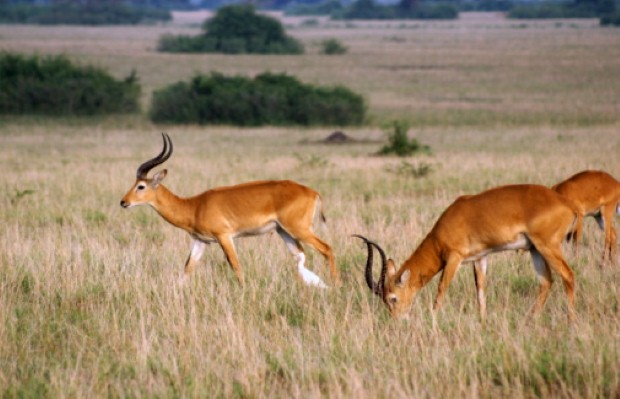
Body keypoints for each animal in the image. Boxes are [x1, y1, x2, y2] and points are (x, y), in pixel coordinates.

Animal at [119, 134, 340, 288]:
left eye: (141, 186)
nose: (123, 202)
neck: (194, 206)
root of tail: (312, 191)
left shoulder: (224, 237)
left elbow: (235, 264)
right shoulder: (201, 241)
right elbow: (188, 268)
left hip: (299, 229)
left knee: (327, 248)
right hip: (283, 231)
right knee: (300, 255)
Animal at [356, 185, 580, 322]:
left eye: (392, 298)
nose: (397, 320)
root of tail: (568, 204)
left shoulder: (454, 258)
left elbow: (441, 288)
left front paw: (433, 317)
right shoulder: (480, 258)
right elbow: (480, 290)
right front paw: (482, 320)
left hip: (547, 246)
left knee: (568, 275)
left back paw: (570, 320)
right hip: (535, 249)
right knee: (546, 281)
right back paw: (529, 319)